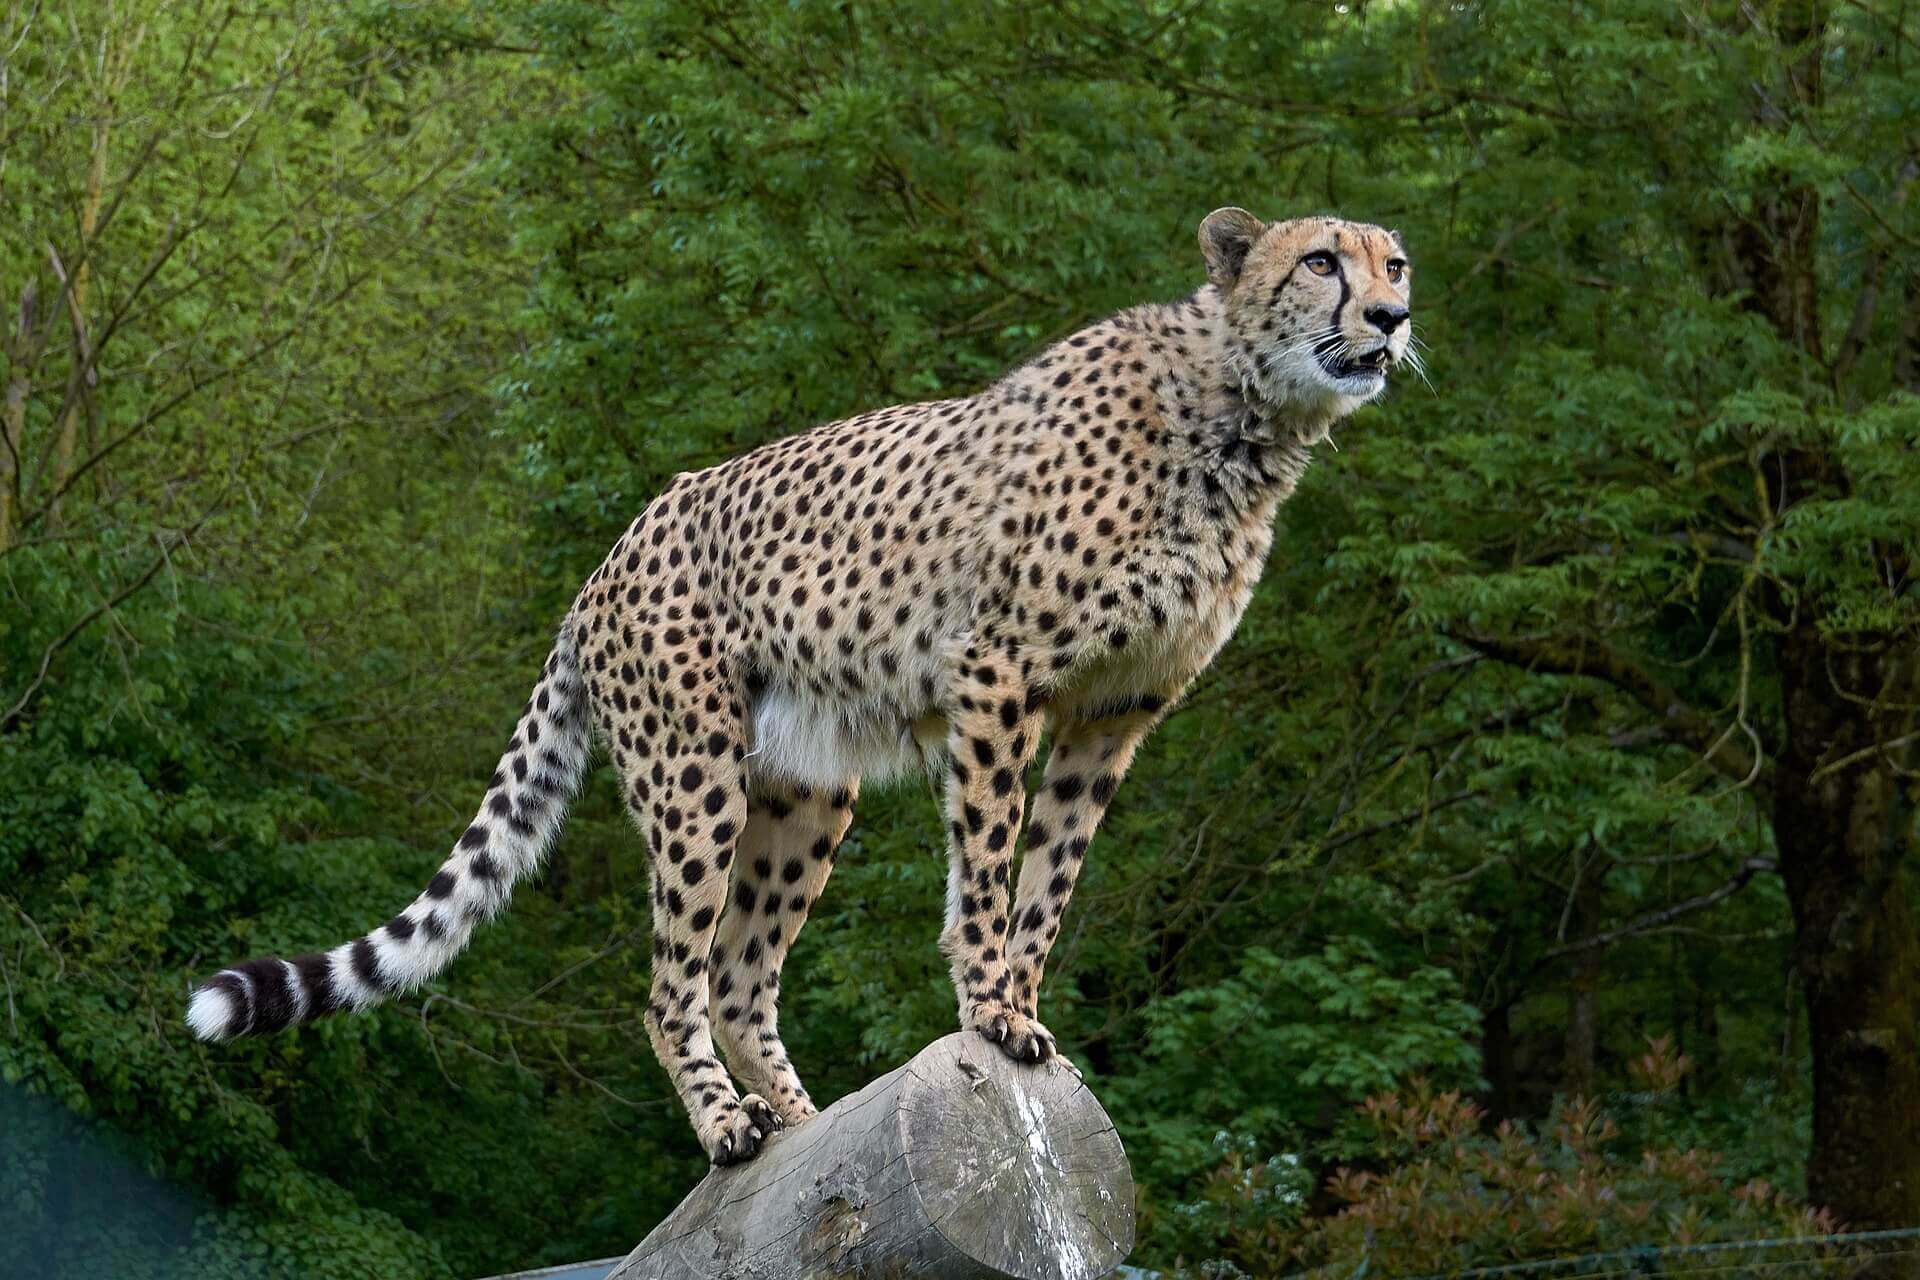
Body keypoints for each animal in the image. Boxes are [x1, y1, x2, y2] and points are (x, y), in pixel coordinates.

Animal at [187, 208, 1415, 1166]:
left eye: (1394, 264)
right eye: (1321, 261)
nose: (1394, 321)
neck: (1241, 417)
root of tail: (606, 558)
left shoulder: (1113, 714)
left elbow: (1049, 880)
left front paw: (1019, 1006)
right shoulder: (1001, 671)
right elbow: (989, 863)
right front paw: (988, 1008)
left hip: (807, 787)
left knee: (738, 973)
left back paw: (804, 1119)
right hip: (695, 771)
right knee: (671, 983)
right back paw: (729, 1125)